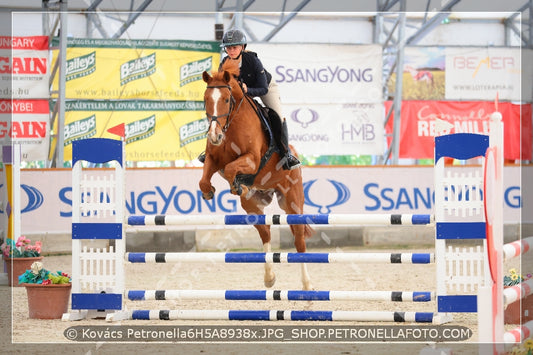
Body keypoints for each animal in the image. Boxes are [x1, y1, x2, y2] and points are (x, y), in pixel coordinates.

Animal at [200, 59, 316, 290]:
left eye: (226, 99)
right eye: (206, 100)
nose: (214, 136)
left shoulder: (252, 160)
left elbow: (231, 168)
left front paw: (237, 185)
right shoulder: (213, 159)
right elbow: (204, 179)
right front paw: (210, 192)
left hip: (292, 202)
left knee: (299, 240)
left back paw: (307, 285)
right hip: (253, 206)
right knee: (265, 232)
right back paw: (269, 277)